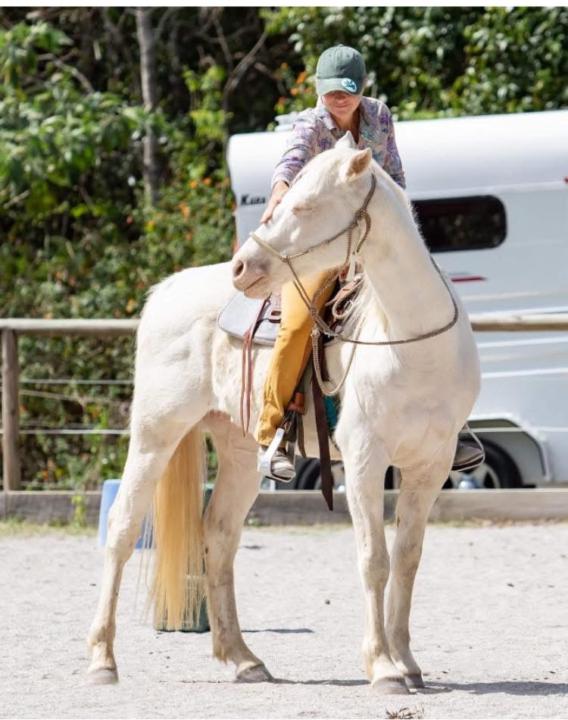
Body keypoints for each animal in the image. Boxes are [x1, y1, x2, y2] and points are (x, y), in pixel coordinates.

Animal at [87, 133, 480, 694]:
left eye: (307, 206)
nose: (241, 268)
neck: (409, 337)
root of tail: (168, 289)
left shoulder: (431, 463)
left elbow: (407, 559)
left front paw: (407, 662)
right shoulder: (365, 459)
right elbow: (374, 560)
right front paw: (382, 668)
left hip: (239, 451)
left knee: (219, 537)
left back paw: (243, 658)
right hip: (155, 436)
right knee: (122, 528)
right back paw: (102, 659)